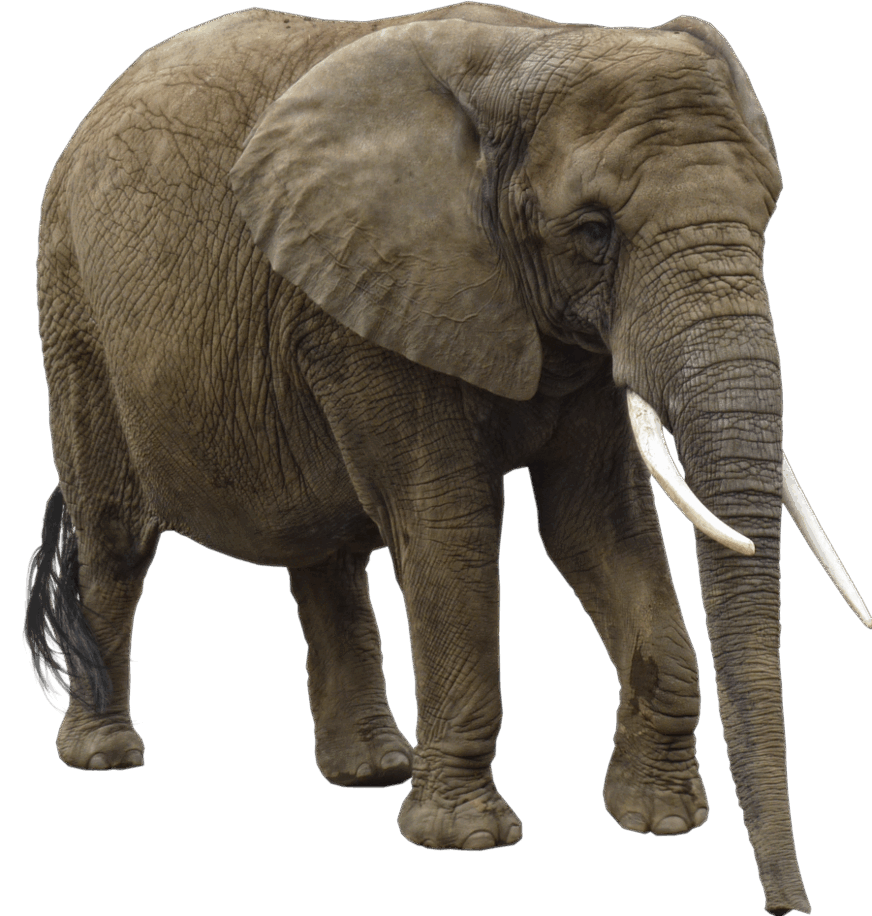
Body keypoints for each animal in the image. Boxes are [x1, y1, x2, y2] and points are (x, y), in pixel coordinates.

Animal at [23, 5, 869, 914]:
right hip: (73, 301)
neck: (532, 50)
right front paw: (466, 840)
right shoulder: (377, 303)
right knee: (115, 538)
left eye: (767, 213)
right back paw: (105, 755)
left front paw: (661, 819)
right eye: (594, 231)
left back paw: (371, 771)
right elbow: (450, 527)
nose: (786, 903)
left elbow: (595, 527)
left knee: (325, 553)